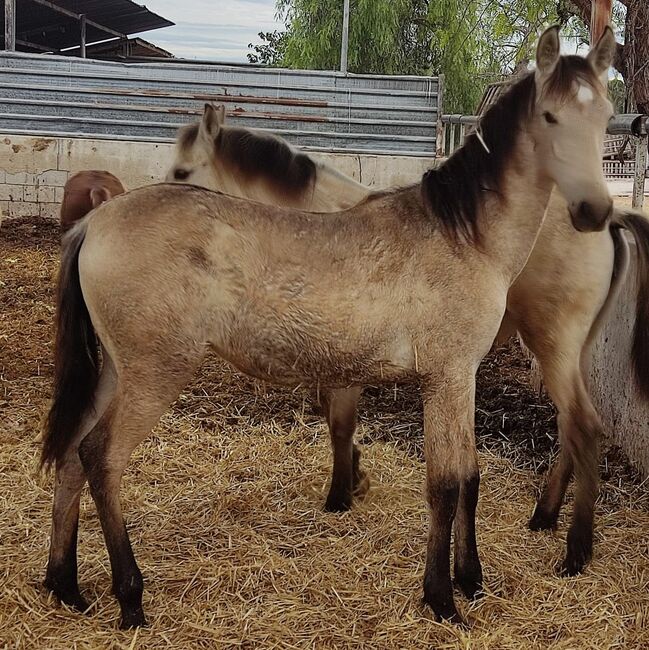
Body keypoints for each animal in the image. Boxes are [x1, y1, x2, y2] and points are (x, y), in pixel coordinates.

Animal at [43, 27, 616, 624]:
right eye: (549, 116)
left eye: (606, 114)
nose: (593, 210)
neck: (463, 235)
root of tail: (94, 222)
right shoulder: (446, 378)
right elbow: (444, 484)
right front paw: (441, 597)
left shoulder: (460, 379)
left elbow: (467, 477)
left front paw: (471, 580)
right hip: (153, 374)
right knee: (100, 457)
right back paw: (130, 596)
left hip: (115, 370)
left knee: (71, 454)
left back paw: (66, 586)